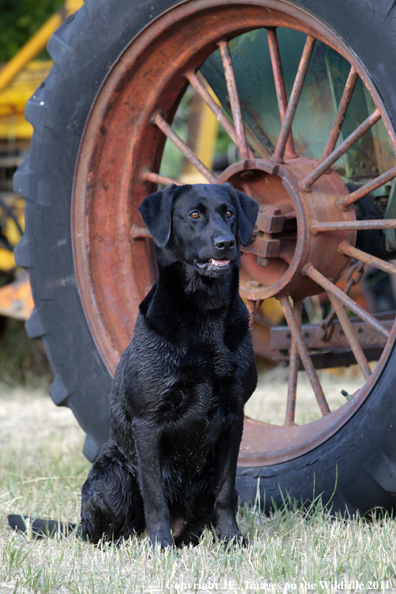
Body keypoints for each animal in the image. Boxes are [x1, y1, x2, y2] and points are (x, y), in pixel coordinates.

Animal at [8, 182, 260, 544]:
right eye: (194, 214)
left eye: (229, 213)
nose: (226, 242)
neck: (205, 313)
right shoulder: (148, 422)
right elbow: (154, 494)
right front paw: (160, 544)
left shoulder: (233, 416)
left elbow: (225, 492)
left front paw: (231, 538)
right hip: (113, 474)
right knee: (105, 532)